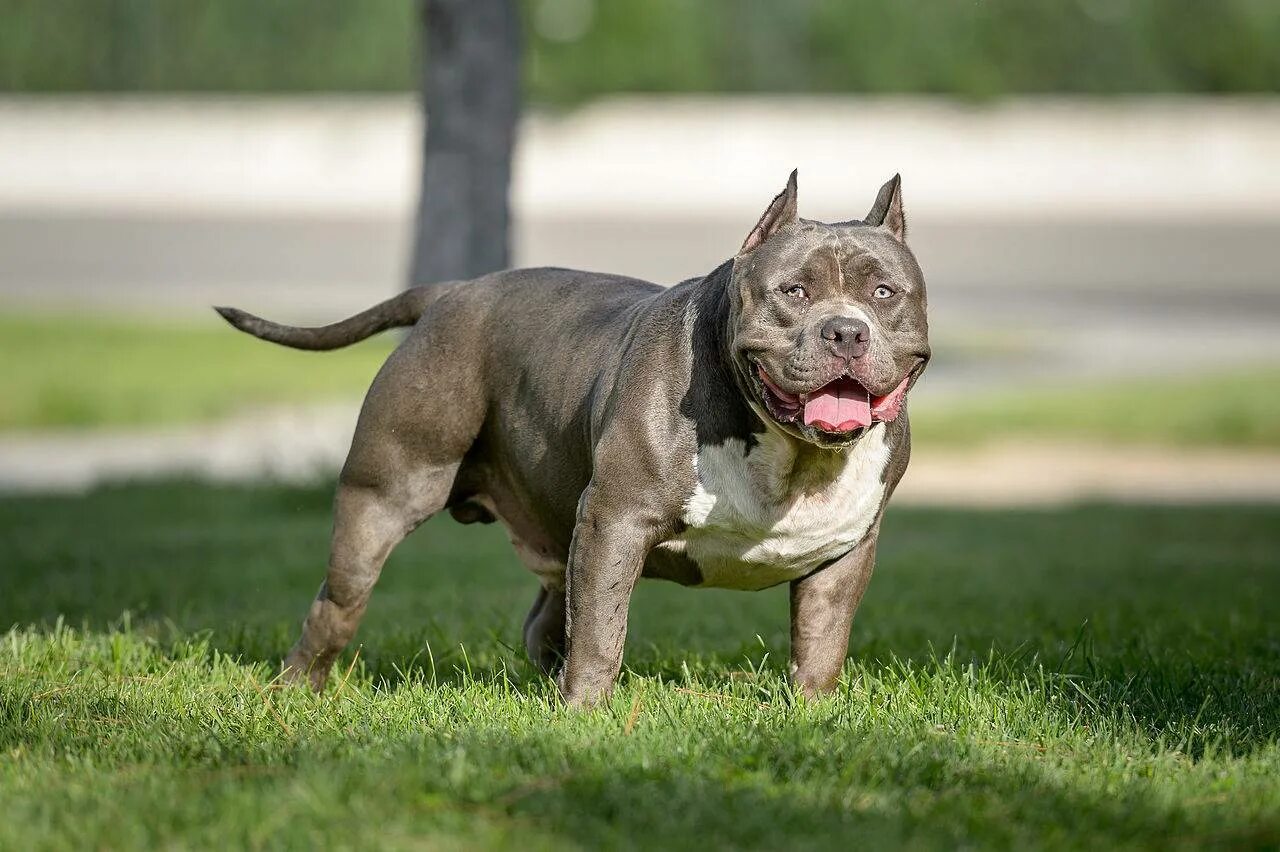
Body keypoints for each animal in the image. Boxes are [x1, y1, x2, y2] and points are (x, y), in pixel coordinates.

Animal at [217, 171, 931, 701]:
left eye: (885, 292)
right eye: (794, 291)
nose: (845, 331)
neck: (792, 455)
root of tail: (453, 292)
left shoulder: (844, 551)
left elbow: (821, 642)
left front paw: (811, 711)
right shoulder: (615, 520)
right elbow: (601, 630)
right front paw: (586, 713)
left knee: (545, 618)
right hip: (382, 496)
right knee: (339, 601)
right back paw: (296, 688)